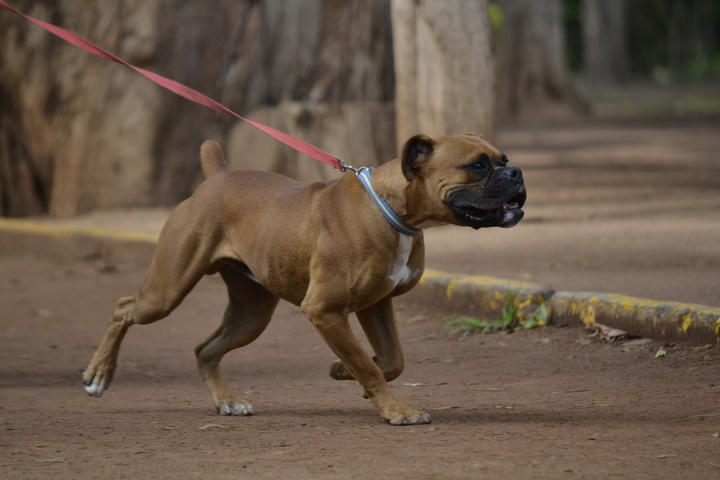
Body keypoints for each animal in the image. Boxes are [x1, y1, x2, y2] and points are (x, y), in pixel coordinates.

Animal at [83, 133, 524, 426]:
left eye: (502, 158)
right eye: (478, 165)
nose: (517, 172)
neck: (390, 209)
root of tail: (216, 177)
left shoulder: (376, 304)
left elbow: (390, 360)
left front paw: (345, 371)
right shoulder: (325, 311)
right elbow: (370, 365)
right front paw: (395, 409)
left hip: (251, 315)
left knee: (204, 349)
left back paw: (228, 401)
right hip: (166, 291)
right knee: (123, 308)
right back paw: (98, 375)